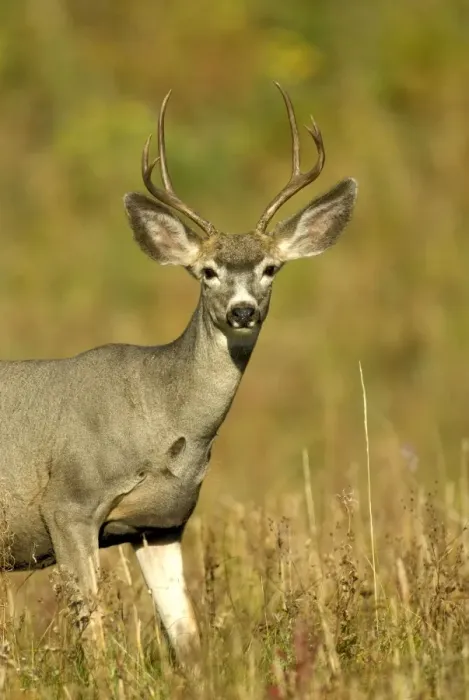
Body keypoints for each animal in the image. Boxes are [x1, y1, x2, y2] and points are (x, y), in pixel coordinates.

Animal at [0, 84, 357, 663]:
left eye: (270, 268)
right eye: (206, 272)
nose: (242, 310)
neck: (161, 416)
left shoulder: (160, 524)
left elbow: (186, 633)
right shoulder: (68, 503)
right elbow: (95, 634)